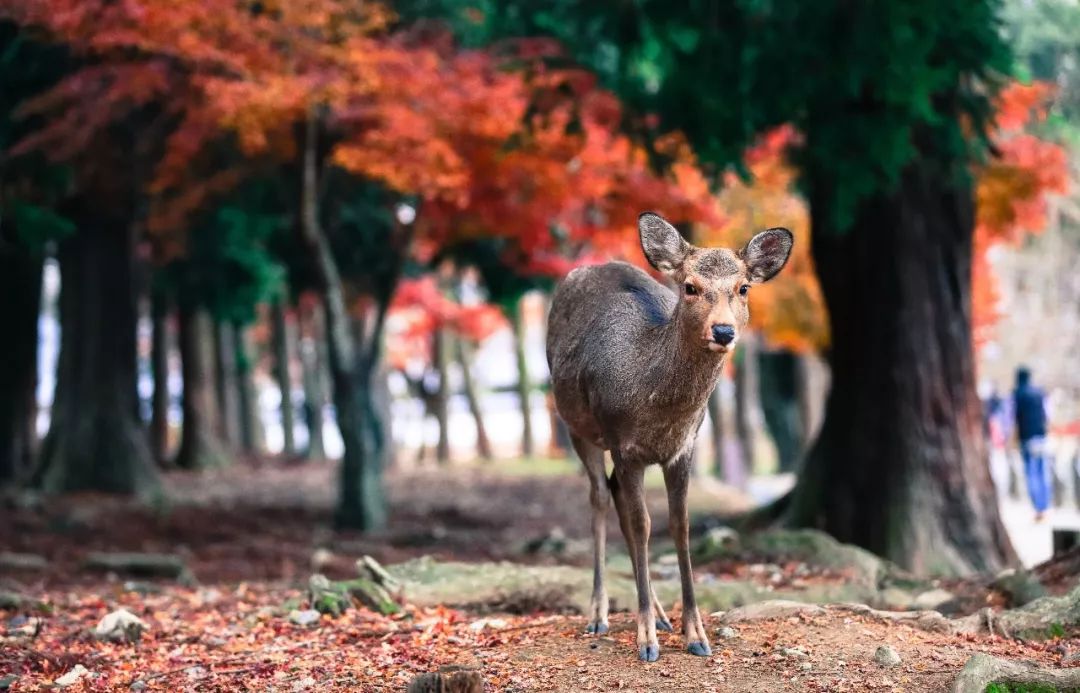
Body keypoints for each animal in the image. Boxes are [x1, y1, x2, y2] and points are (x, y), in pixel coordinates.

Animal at [548, 209, 794, 656]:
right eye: (690, 286)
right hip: (578, 426)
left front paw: (695, 633)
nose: (724, 331)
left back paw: (661, 615)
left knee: (615, 496)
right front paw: (646, 639)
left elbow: (679, 526)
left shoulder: (684, 447)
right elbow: (644, 524)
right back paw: (599, 613)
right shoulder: (624, 444)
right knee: (599, 497)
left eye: (743, 287)